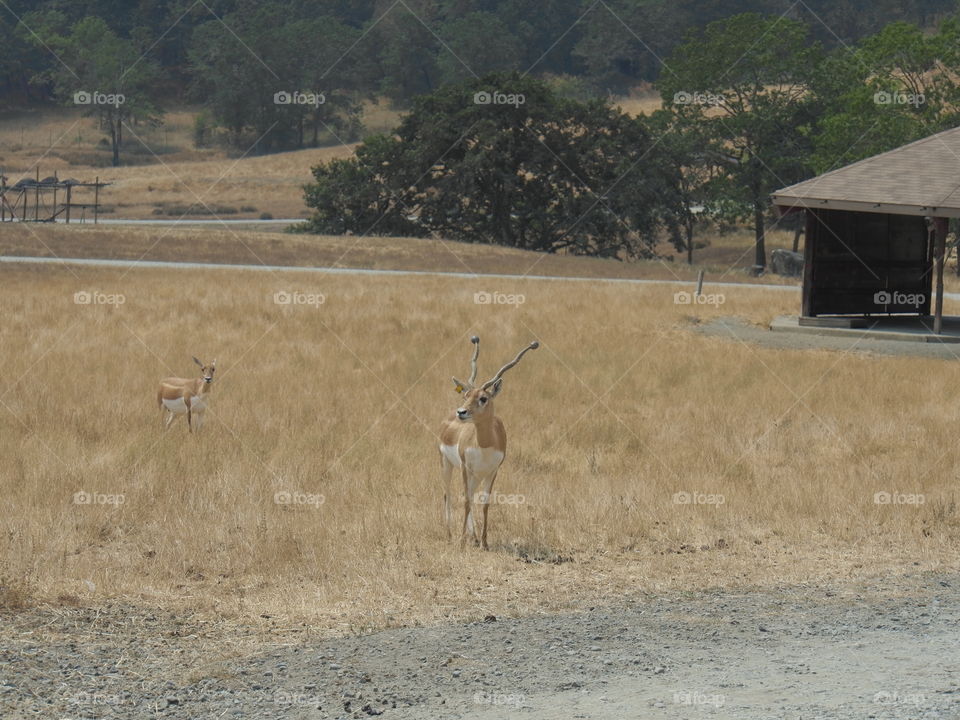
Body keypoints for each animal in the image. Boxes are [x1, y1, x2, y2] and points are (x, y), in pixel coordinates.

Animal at [438, 334, 536, 548]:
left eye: (483, 398)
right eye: (466, 395)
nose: (461, 412)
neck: (484, 444)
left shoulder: (492, 471)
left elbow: (485, 503)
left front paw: (484, 541)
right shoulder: (465, 467)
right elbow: (466, 501)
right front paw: (461, 541)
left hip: (477, 475)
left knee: (469, 496)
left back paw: (473, 537)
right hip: (447, 464)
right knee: (448, 494)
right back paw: (449, 535)